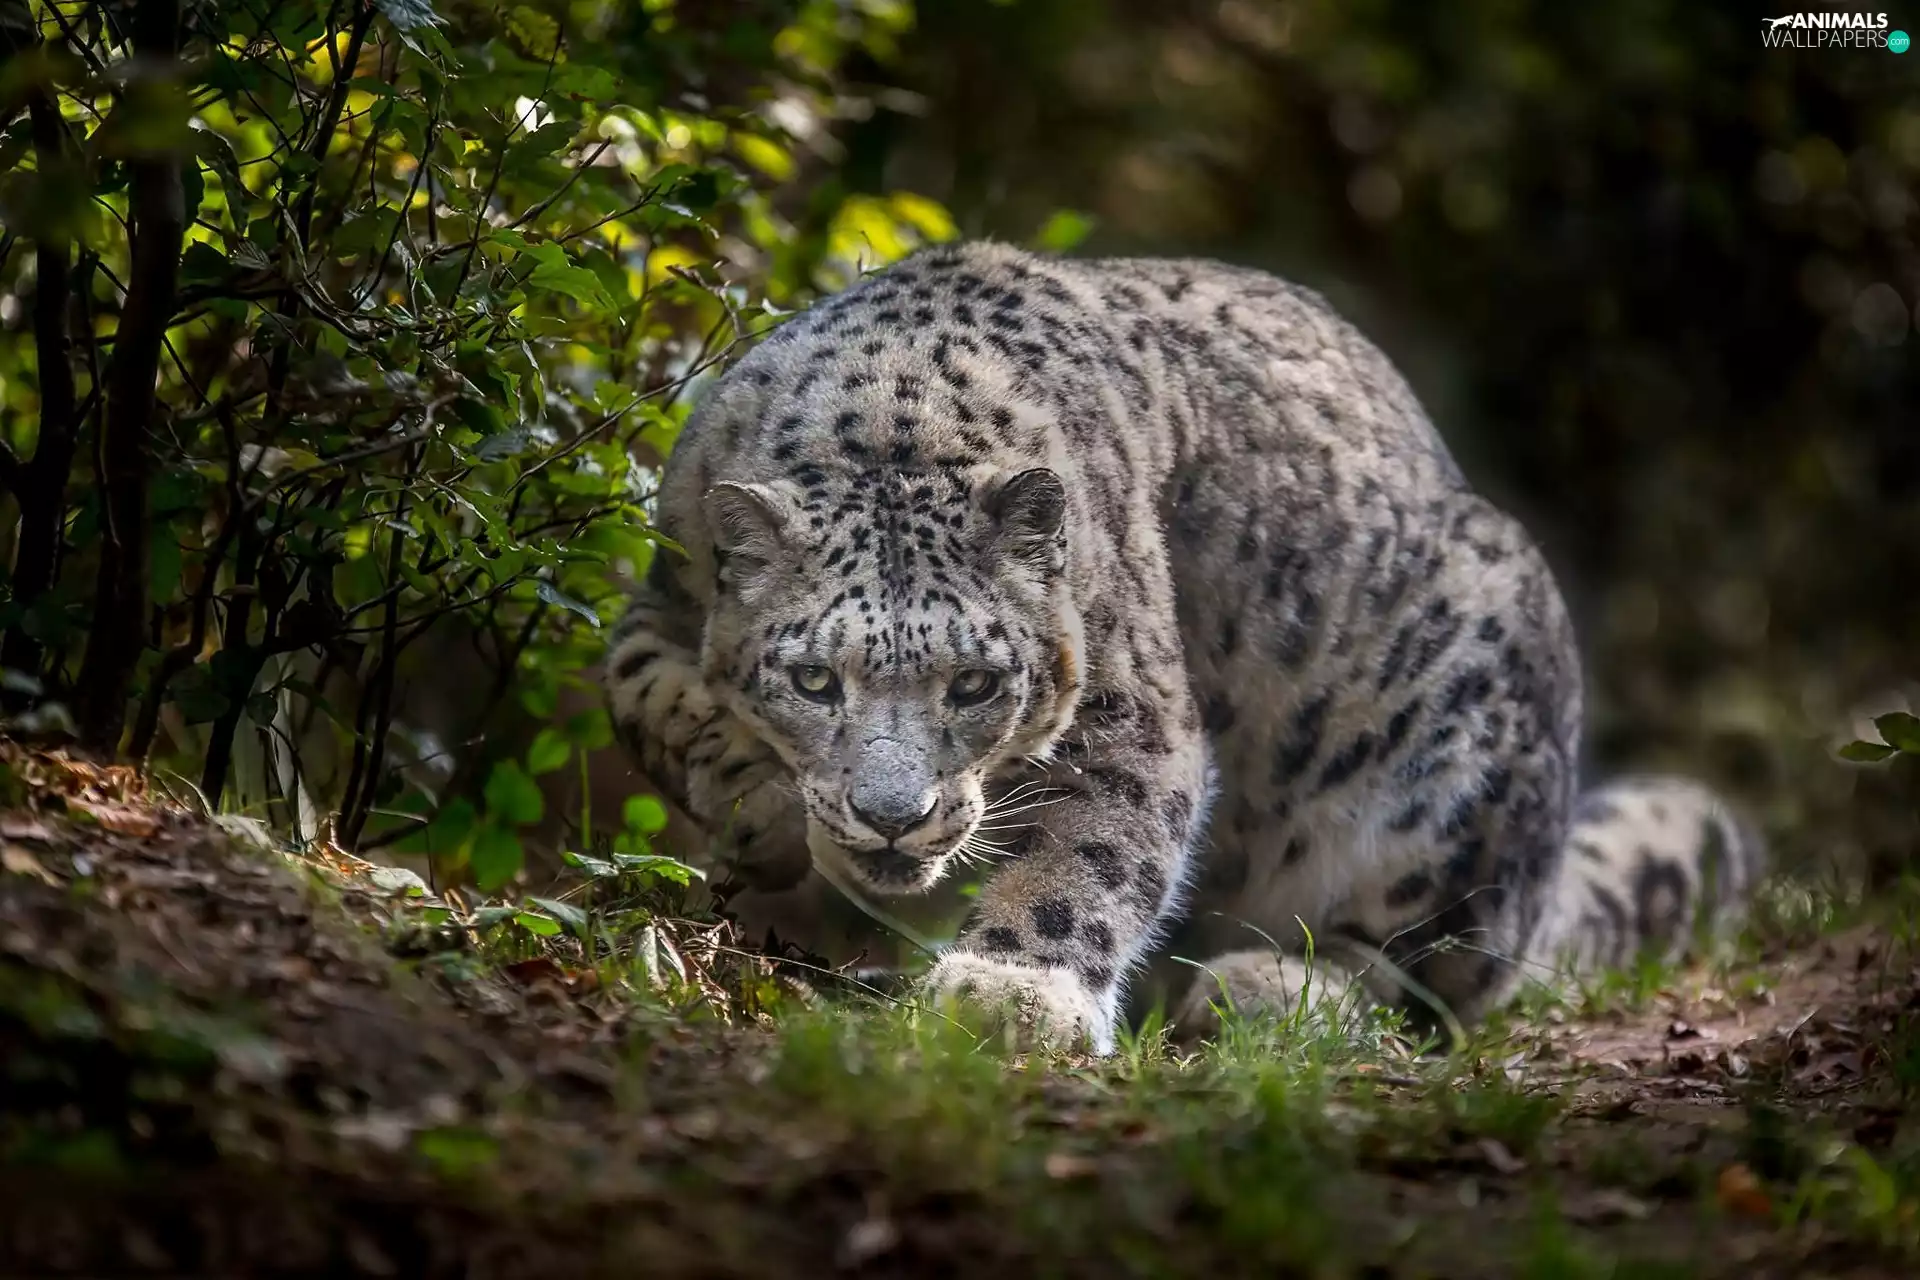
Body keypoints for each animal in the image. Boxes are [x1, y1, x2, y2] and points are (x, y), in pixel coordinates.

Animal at [603, 241, 1765, 1052]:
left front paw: (1010, 994)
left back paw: (1266, 985)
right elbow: (641, 689)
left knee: (1437, 970)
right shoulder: (661, 591)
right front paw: (754, 805)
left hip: (1462, 750)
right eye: (813, 678)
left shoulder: (1133, 703)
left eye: (975, 683)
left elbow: (1096, 844)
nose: (894, 816)